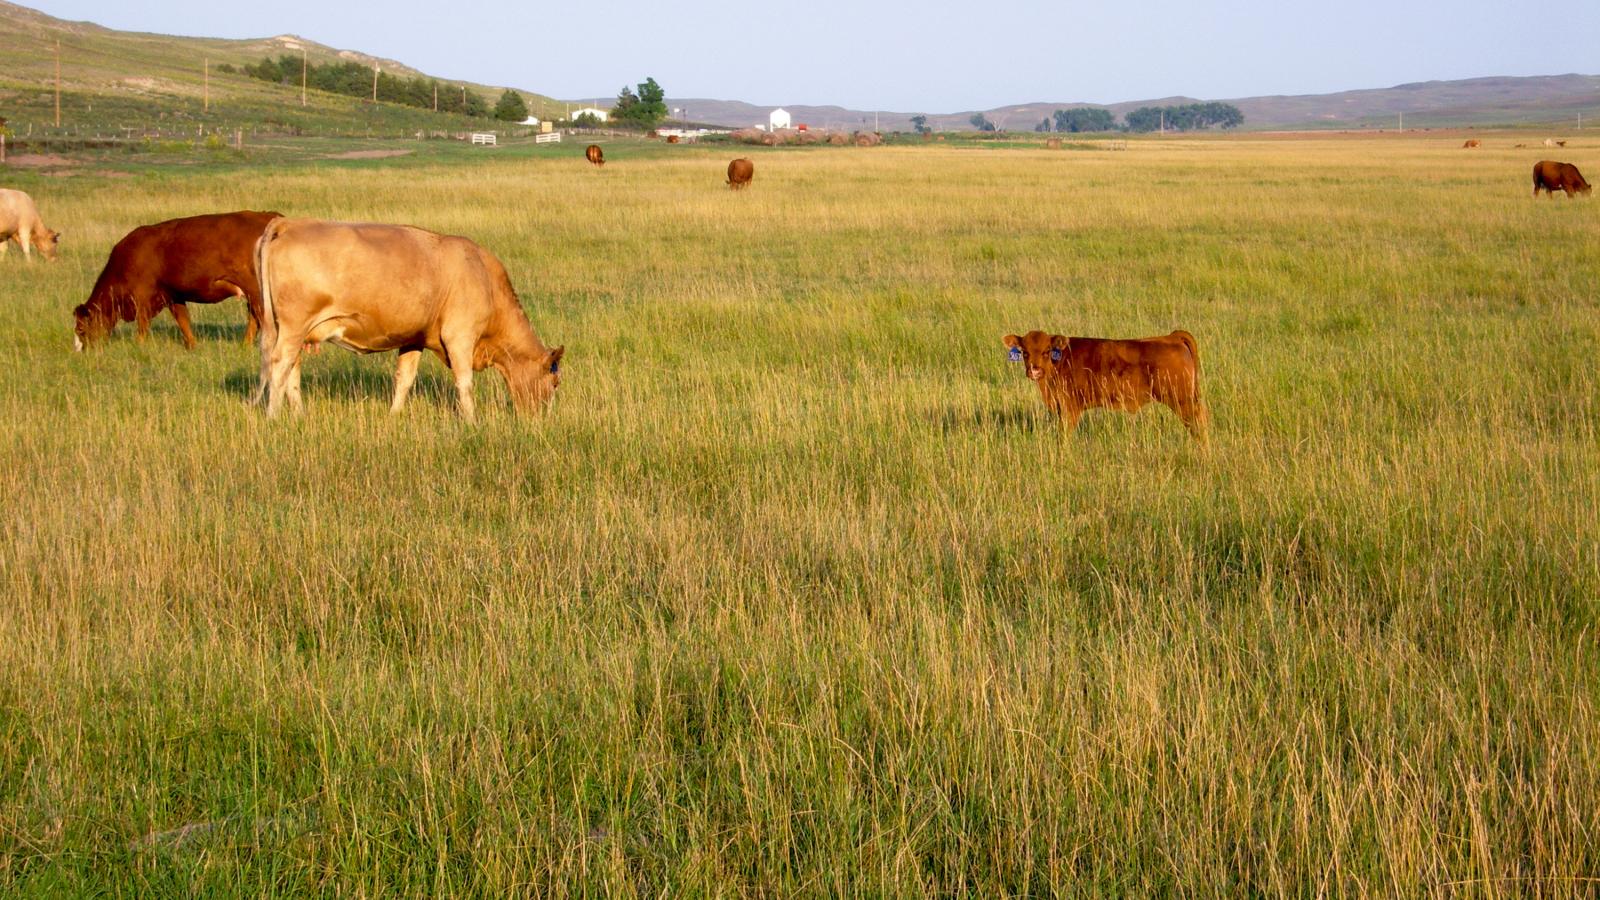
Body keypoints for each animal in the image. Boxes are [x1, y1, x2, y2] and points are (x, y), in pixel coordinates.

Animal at [72, 209, 280, 350]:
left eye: (81, 329)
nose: (81, 351)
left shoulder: (142, 297)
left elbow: (142, 324)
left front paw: (139, 344)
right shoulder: (173, 295)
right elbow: (183, 320)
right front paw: (192, 345)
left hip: (255, 291)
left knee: (260, 317)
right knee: (254, 318)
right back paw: (245, 345)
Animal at [254, 222, 563, 422]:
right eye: (555, 381)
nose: (543, 420)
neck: (484, 276)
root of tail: (290, 224)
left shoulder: (414, 339)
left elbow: (404, 379)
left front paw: (394, 415)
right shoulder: (460, 336)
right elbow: (464, 383)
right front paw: (472, 422)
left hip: (292, 331)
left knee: (291, 369)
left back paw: (299, 415)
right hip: (294, 326)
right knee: (280, 364)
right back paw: (273, 416)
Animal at [1004, 328, 1203, 441]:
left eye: (1047, 351)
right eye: (1024, 352)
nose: (1034, 371)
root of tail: (1172, 337)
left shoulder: (1071, 408)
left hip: (1183, 402)